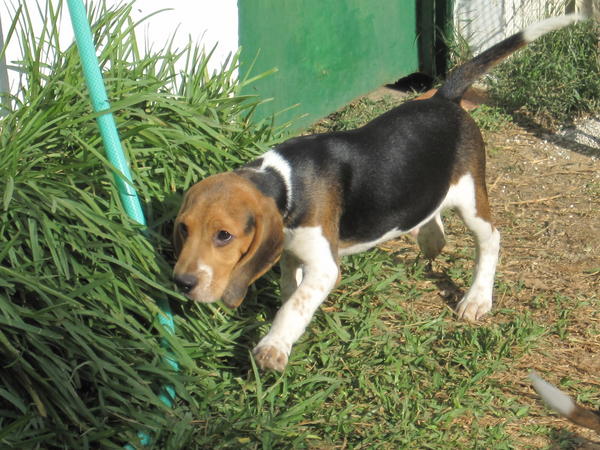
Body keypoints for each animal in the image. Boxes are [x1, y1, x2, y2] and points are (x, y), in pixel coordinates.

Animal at [172, 14, 580, 372]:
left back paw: (478, 298)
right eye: (183, 228)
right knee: (431, 215)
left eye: (224, 235)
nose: (182, 283)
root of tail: (443, 98)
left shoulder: (323, 265)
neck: (284, 182)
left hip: (470, 197)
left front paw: (273, 347)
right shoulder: (290, 251)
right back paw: (430, 238)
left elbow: (294, 304)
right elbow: (291, 289)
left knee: (490, 238)